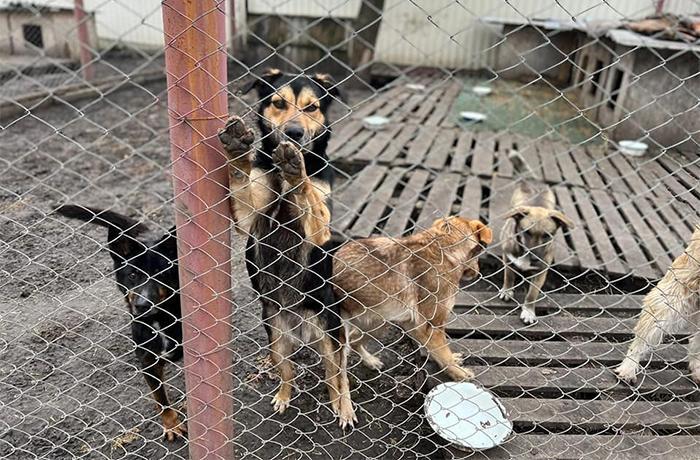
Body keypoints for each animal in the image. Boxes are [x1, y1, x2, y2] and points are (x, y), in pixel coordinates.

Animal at [54, 205, 186, 438]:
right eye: (132, 275)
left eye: (160, 274)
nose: (142, 305)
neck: (159, 320)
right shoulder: (147, 360)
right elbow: (161, 398)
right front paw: (171, 424)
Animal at [217, 68, 352, 428]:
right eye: (279, 103)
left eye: (312, 107)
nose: (294, 133)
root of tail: (303, 332)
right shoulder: (250, 217)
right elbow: (242, 180)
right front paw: (238, 148)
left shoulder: (318, 227)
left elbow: (308, 194)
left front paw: (297, 170)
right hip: (276, 335)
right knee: (288, 371)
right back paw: (282, 397)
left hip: (332, 335)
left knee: (338, 376)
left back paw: (344, 407)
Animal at [332, 216, 492, 380]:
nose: (478, 272)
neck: (444, 248)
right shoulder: (431, 326)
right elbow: (444, 354)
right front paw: (459, 374)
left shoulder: (414, 325)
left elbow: (437, 351)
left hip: (379, 322)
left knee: (354, 339)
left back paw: (370, 361)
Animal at [498, 152, 576, 324]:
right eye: (526, 232)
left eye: (547, 236)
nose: (534, 258)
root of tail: (532, 179)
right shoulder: (507, 258)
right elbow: (509, 276)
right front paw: (507, 290)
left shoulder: (541, 271)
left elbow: (532, 293)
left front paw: (528, 311)